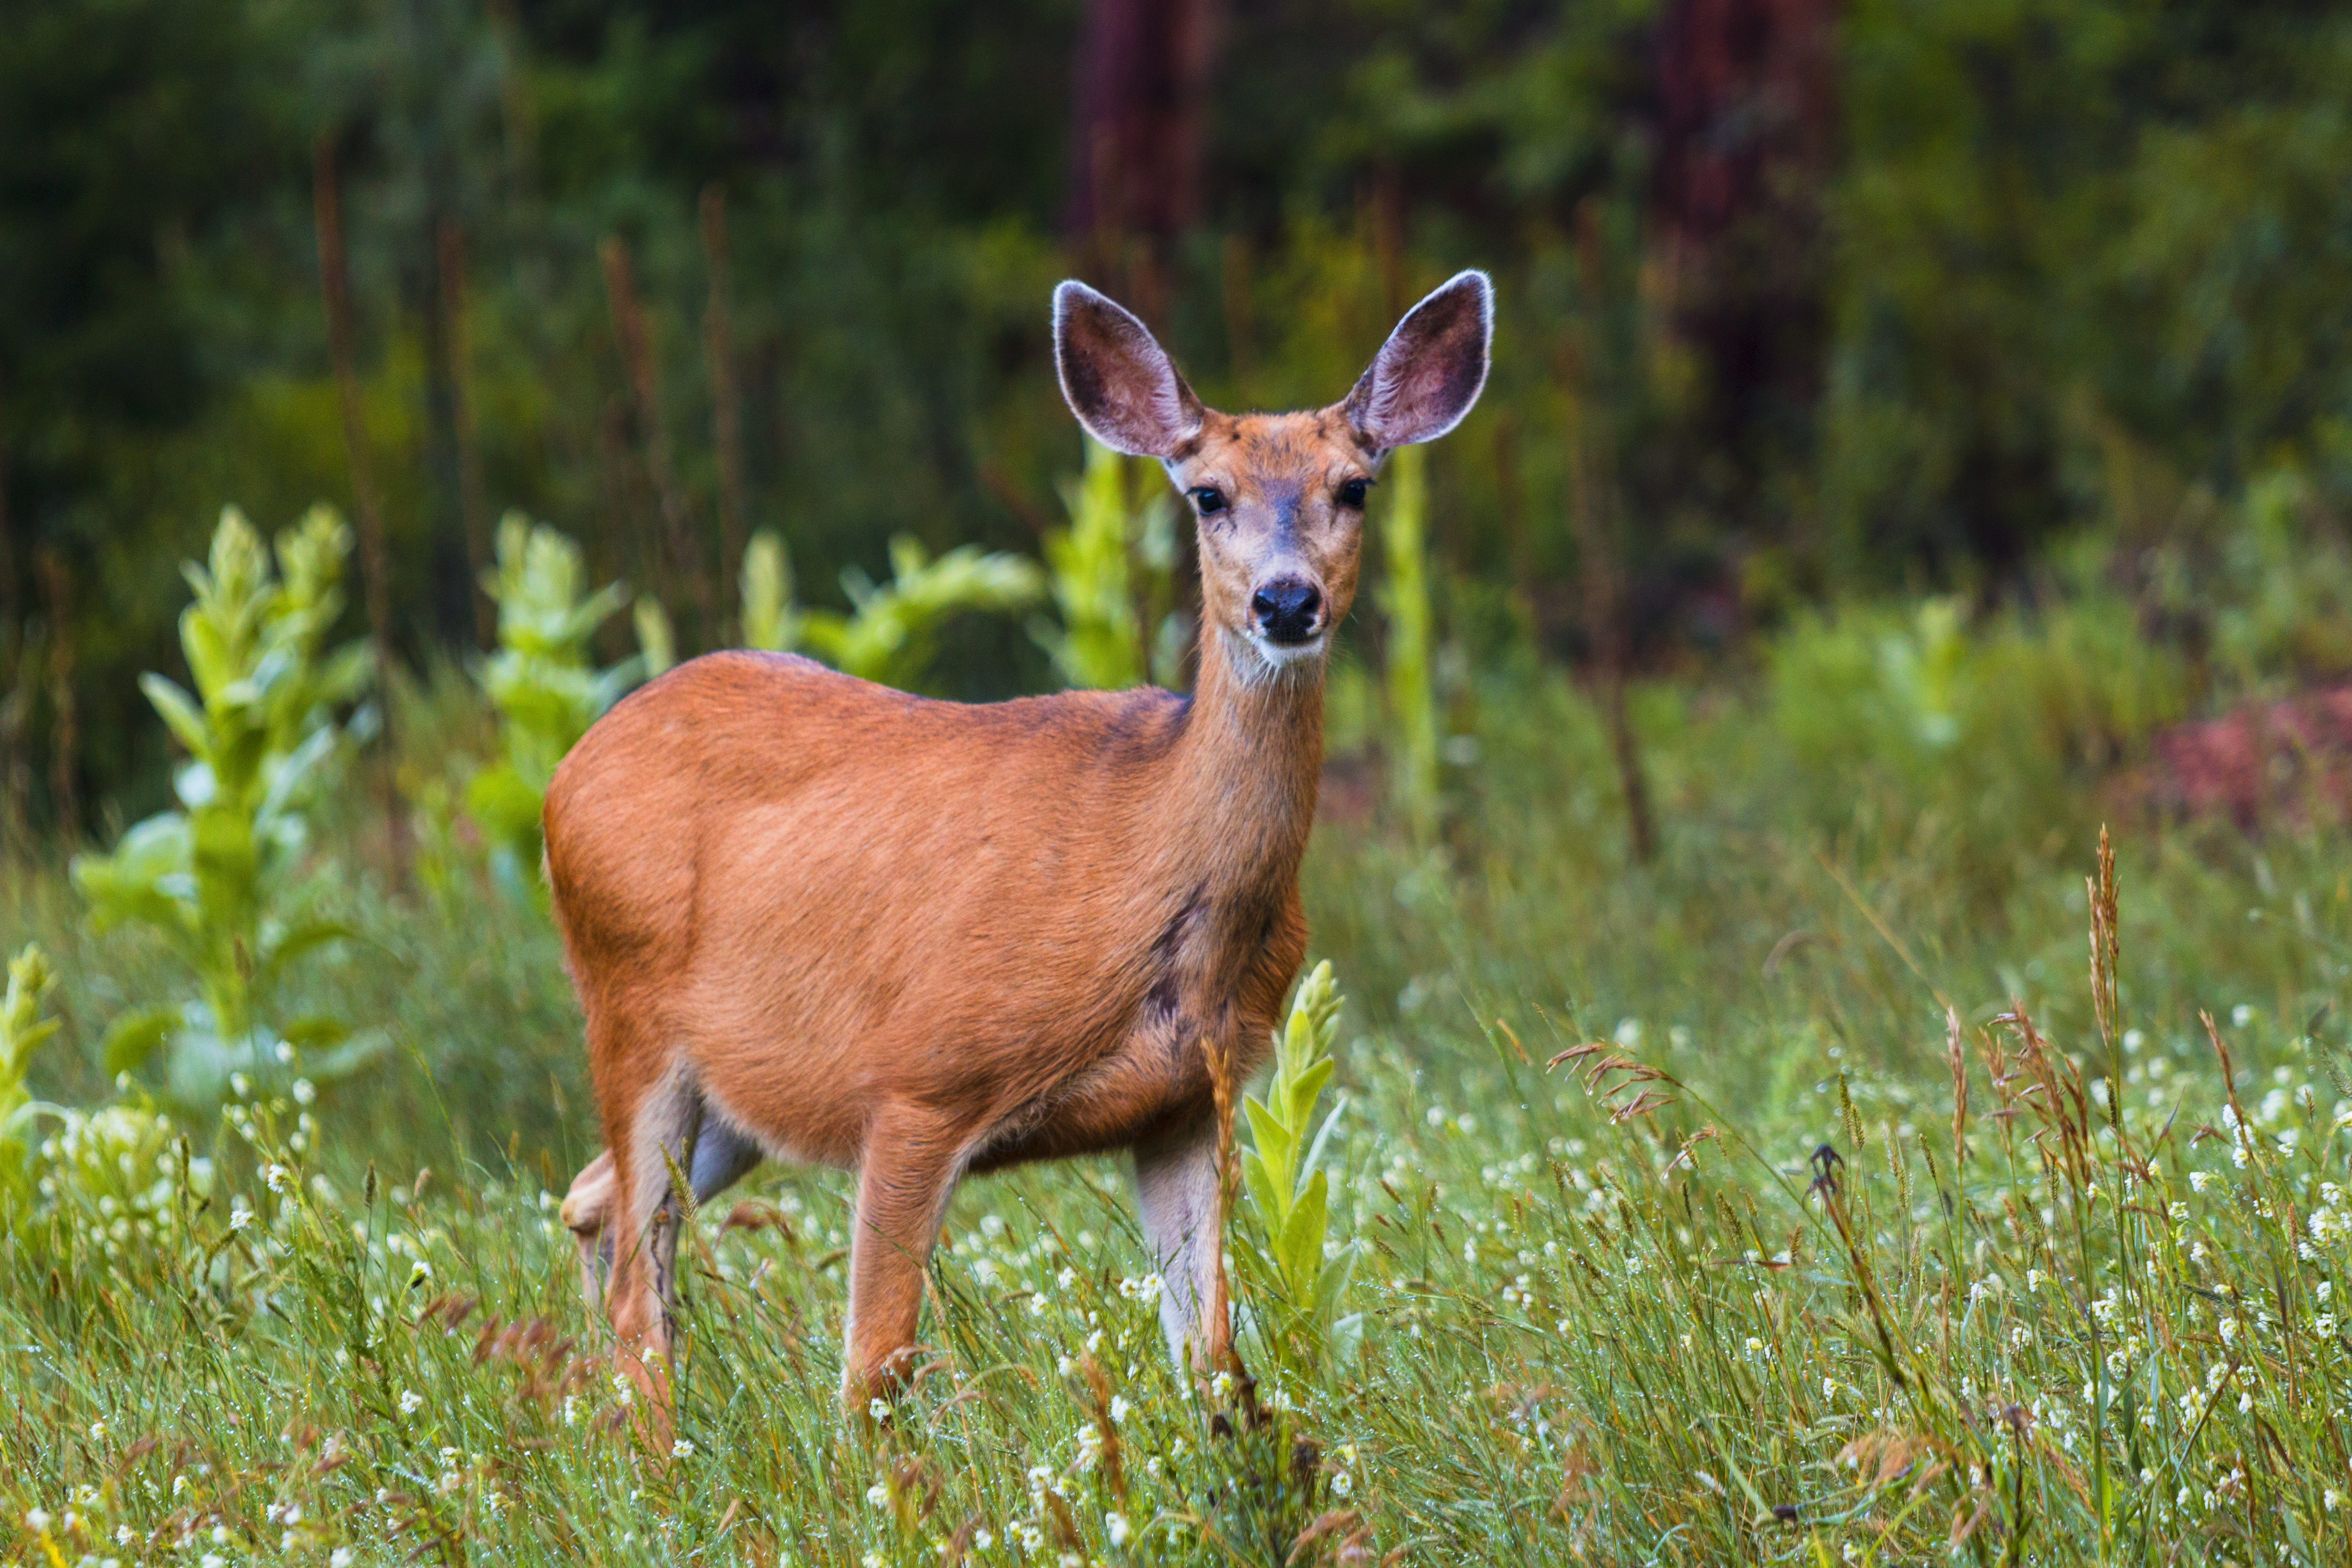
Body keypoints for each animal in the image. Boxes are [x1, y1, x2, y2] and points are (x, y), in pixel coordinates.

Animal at [549, 269, 1492, 1421]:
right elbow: (873, 1370)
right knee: (638, 1291)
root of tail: (569, 767)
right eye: (1207, 495)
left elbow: (1213, 1357)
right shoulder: (918, 1079)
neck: (1152, 871)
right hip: (628, 1006)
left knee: (592, 1205)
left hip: (732, 1084)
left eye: (1355, 487)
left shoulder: (1189, 1099)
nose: (1284, 600)